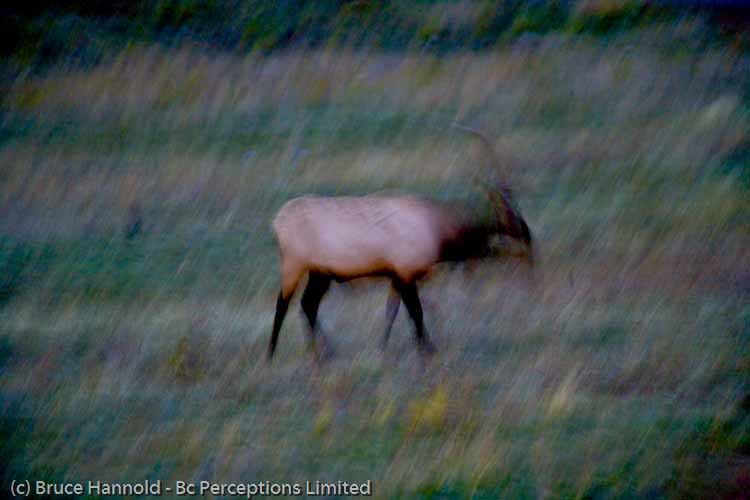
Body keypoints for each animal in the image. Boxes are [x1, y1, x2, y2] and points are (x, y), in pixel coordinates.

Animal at [267, 124, 533, 360]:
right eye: (514, 218)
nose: (529, 240)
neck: (437, 228)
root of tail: (277, 220)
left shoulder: (396, 275)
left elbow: (392, 313)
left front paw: (383, 348)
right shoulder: (406, 273)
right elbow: (416, 313)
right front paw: (428, 350)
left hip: (320, 273)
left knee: (308, 304)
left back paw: (324, 353)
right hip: (295, 265)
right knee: (284, 303)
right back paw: (272, 354)